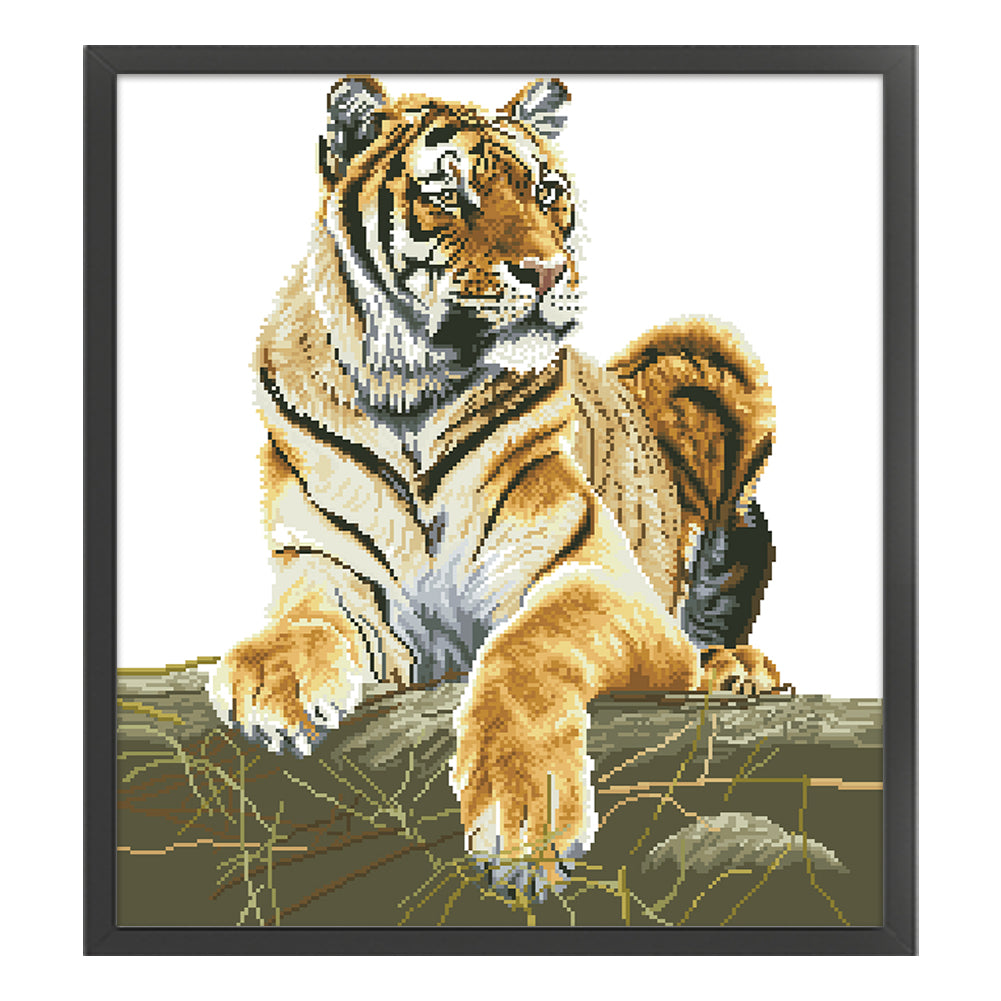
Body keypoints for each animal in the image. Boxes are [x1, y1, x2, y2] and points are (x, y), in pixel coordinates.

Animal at [207, 76, 780, 875]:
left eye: (547, 191)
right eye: (448, 193)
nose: (545, 271)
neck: (411, 394)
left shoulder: (596, 577)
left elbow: (524, 650)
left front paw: (527, 814)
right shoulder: (327, 564)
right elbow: (307, 616)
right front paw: (273, 680)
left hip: (699, 356)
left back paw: (735, 669)